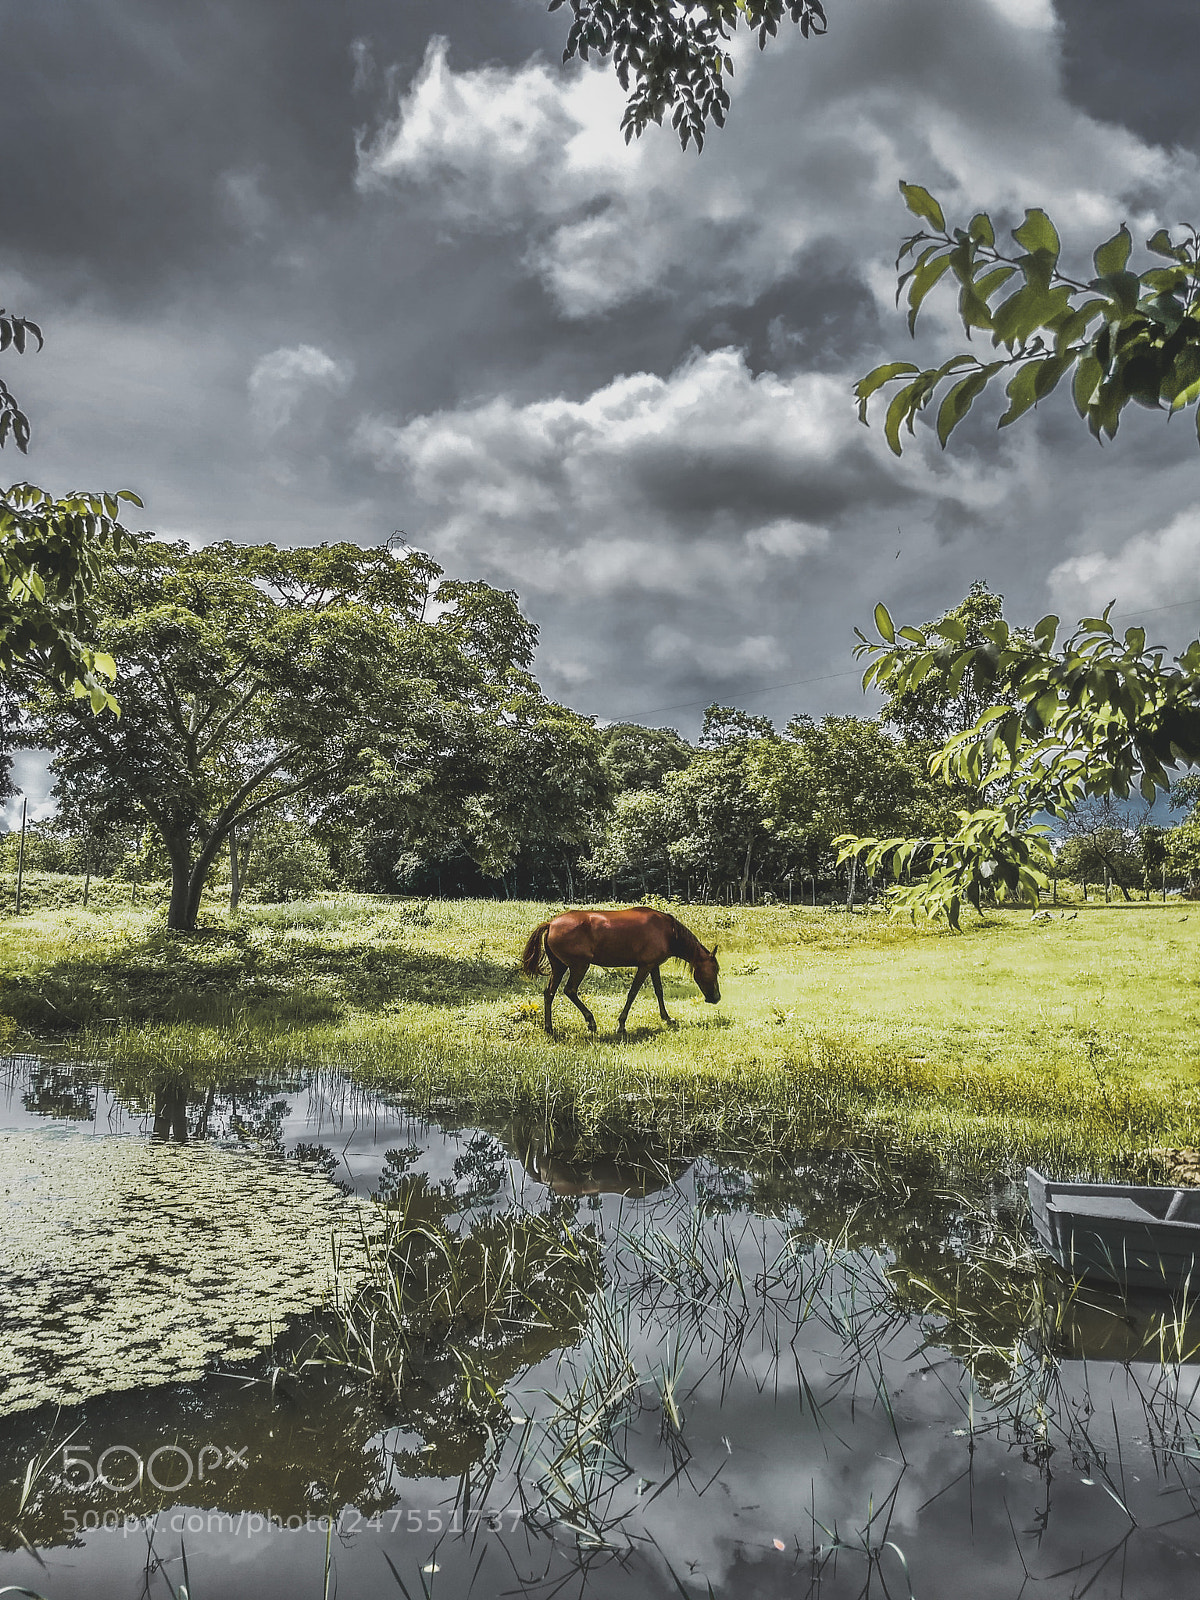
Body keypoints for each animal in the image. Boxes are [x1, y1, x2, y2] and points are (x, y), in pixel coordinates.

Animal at [520, 906, 720, 1037]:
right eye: (714, 970)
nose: (716, 998)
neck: (667, 931)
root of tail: (551, 924)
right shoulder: (644, 966)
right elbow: (632, 994)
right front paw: (621, 1025)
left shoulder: (653, 965)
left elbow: (659, 991)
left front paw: (667, 1018)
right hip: (579, 966)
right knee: (570, 990)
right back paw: (590, 1021)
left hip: (559, 967)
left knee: (549, 993)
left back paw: (549, 1028)